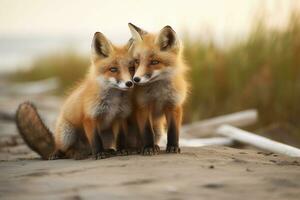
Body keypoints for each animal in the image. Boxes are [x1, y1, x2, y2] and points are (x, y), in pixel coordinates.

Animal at [15, 31, 135, 159]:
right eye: (113, 69)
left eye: (131, 68)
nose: (129, 83)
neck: (113, 101)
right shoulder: (89, 118)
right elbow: (95, 140)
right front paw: (99, 153)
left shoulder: (120, 117)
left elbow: (121, 138)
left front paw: (122, 150)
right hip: (67, 133)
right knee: (65, 151)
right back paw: (66, 153)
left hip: (106, 135)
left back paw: (106, 150)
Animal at [128, 23, 188, 155]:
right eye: (137, 61)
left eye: (154, 62)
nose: (136, 80)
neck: (159, 93)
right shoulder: (143, 106)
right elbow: (147, 131)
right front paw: (148, 148)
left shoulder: (174, 104)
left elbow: (173, 130)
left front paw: (173, 147)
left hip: (159, 129)